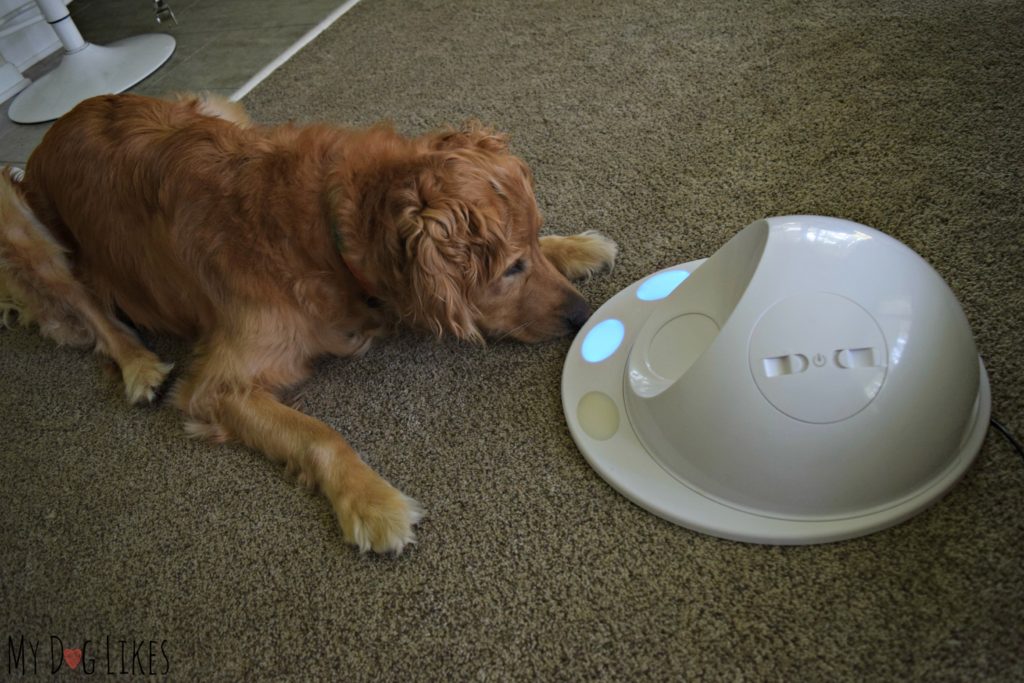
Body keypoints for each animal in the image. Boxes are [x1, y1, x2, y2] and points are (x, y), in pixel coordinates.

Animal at [0, 93, 614, 557]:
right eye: (510, 269)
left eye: (528, 248)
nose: (582, 316)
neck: (329, 229)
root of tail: (54, 130)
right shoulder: (213, 386)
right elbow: (319, 435)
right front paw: (372, 503)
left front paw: (572, 246)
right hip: (19, 217)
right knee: (85, 305)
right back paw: (138, 364)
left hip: (215, 107)